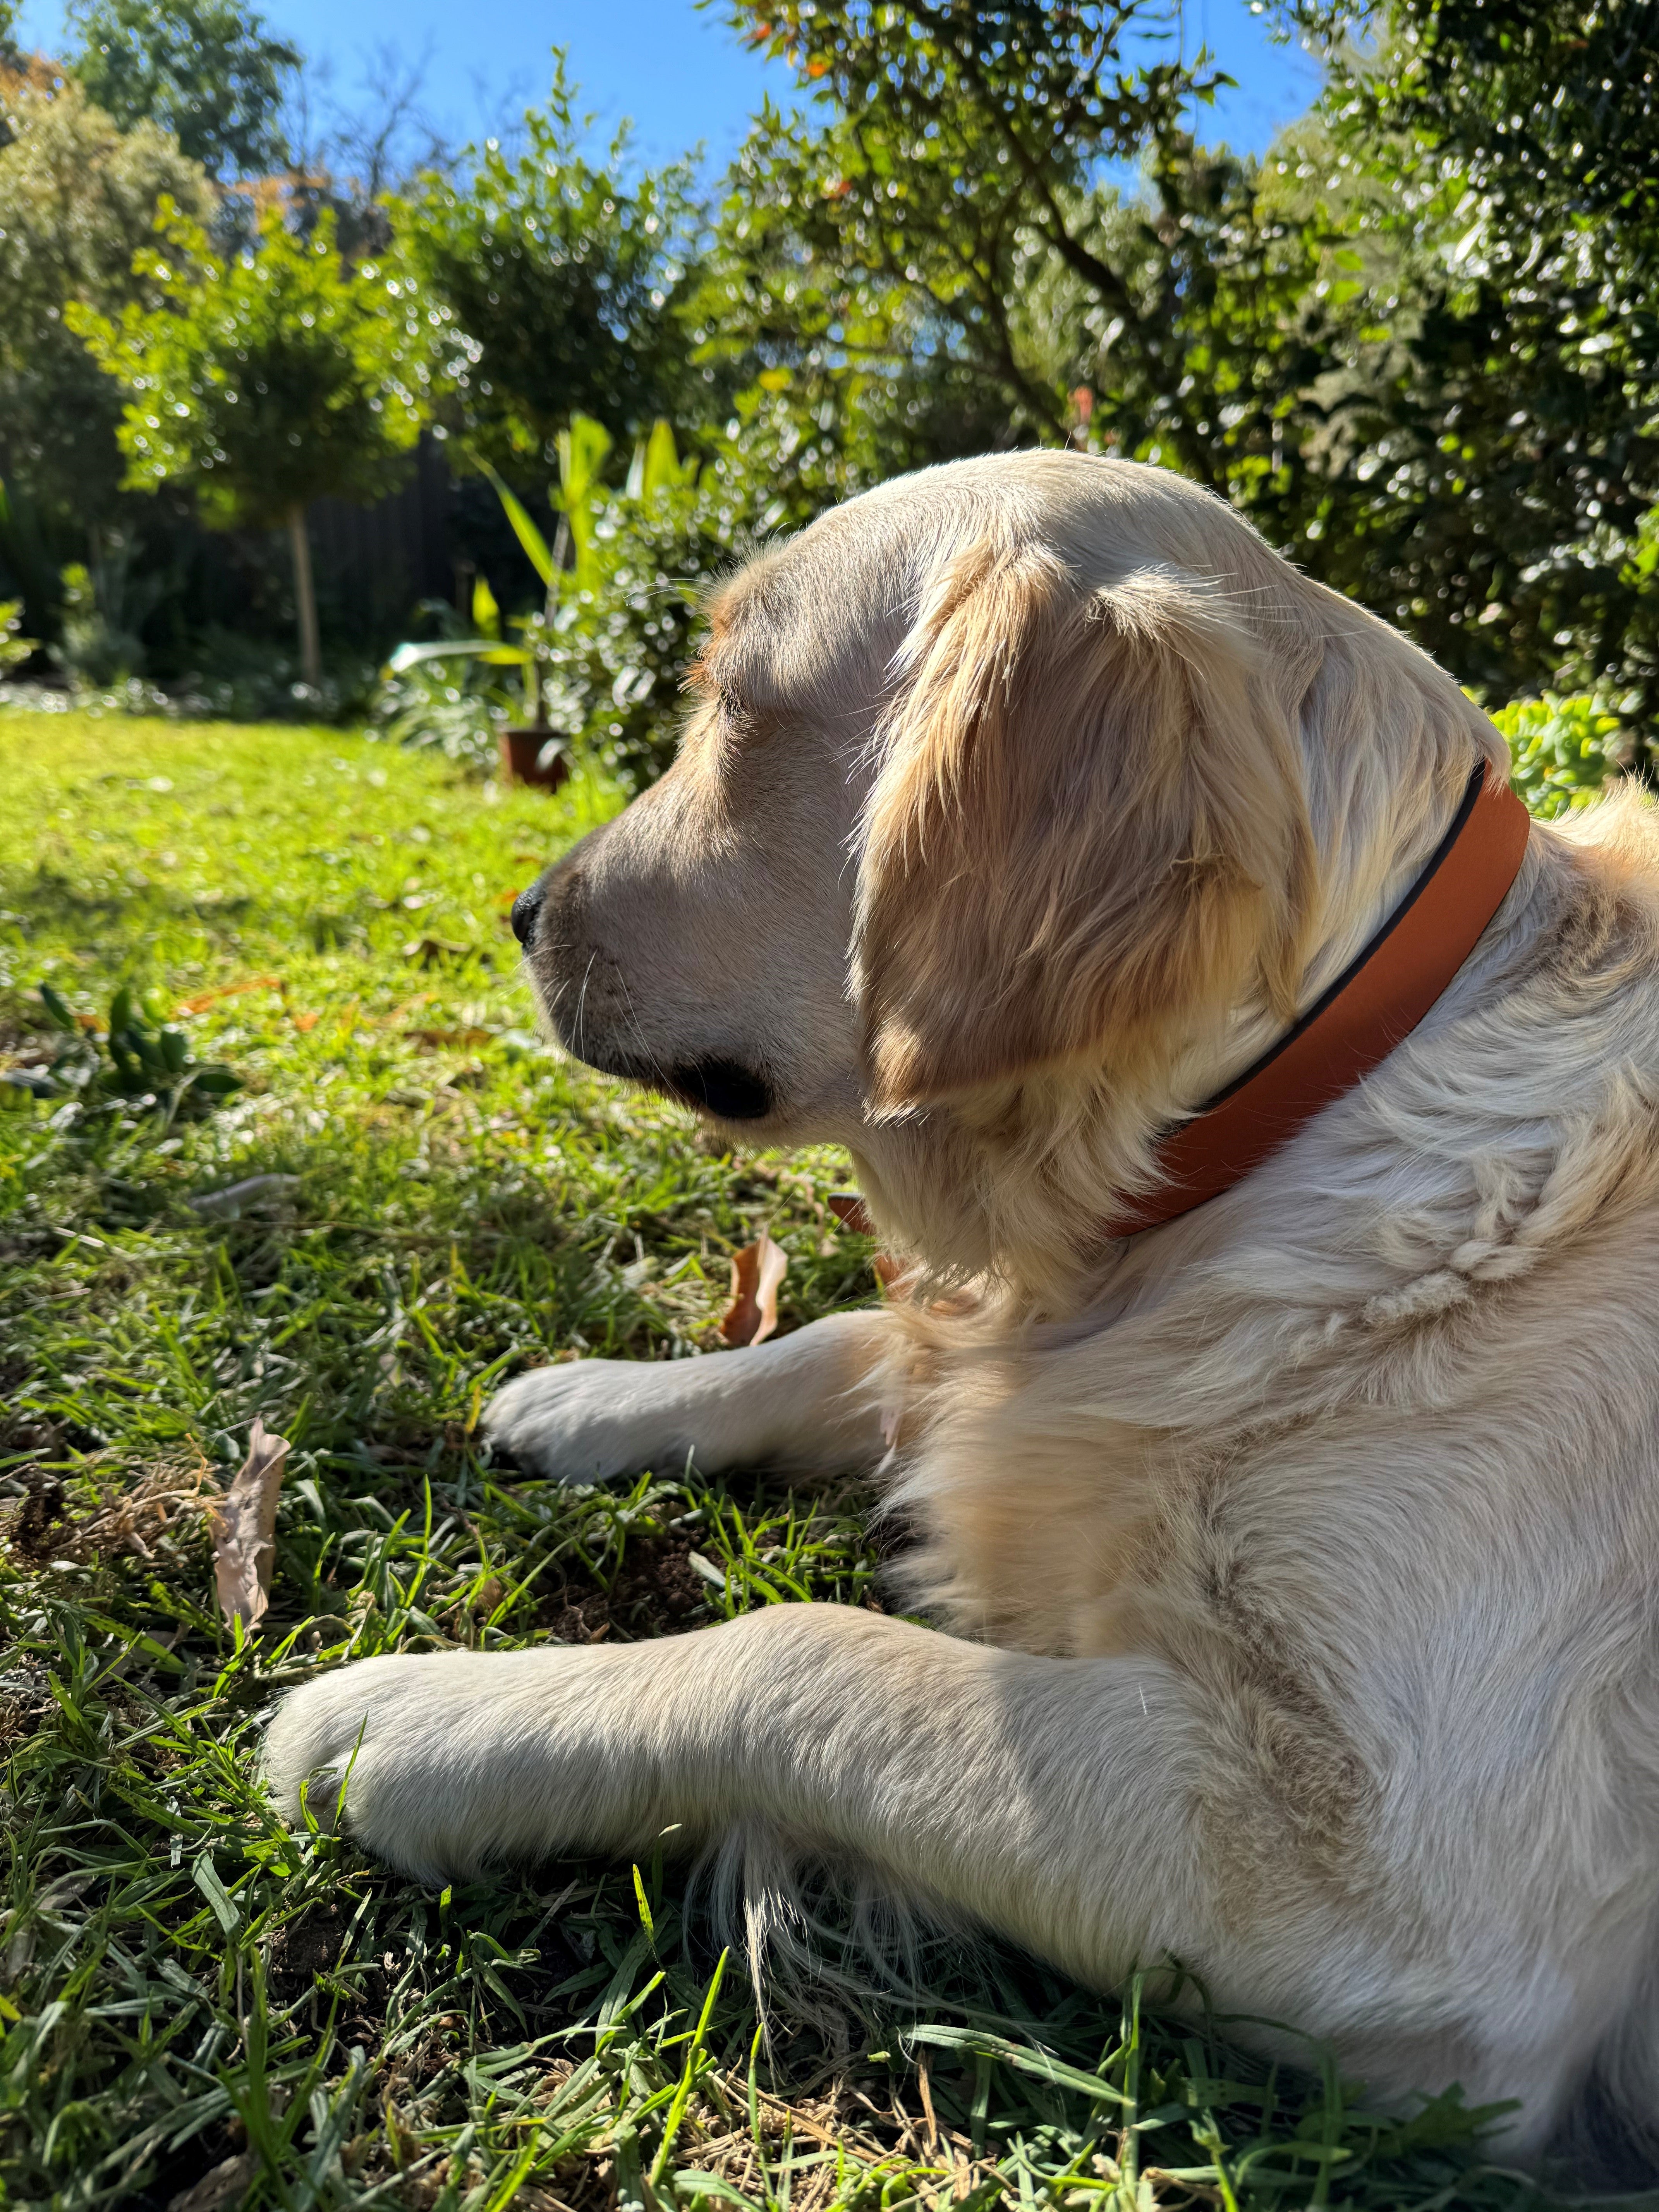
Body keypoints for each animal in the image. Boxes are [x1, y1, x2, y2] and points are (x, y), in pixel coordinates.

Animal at [270, 449, 1659, 2159]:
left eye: (731, 703)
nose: (524, 910)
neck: (1295, 1110)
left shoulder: (1407, 1911)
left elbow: (802, 1654)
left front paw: (422, 1721)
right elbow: (849, 1338)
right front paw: (597, 1394)